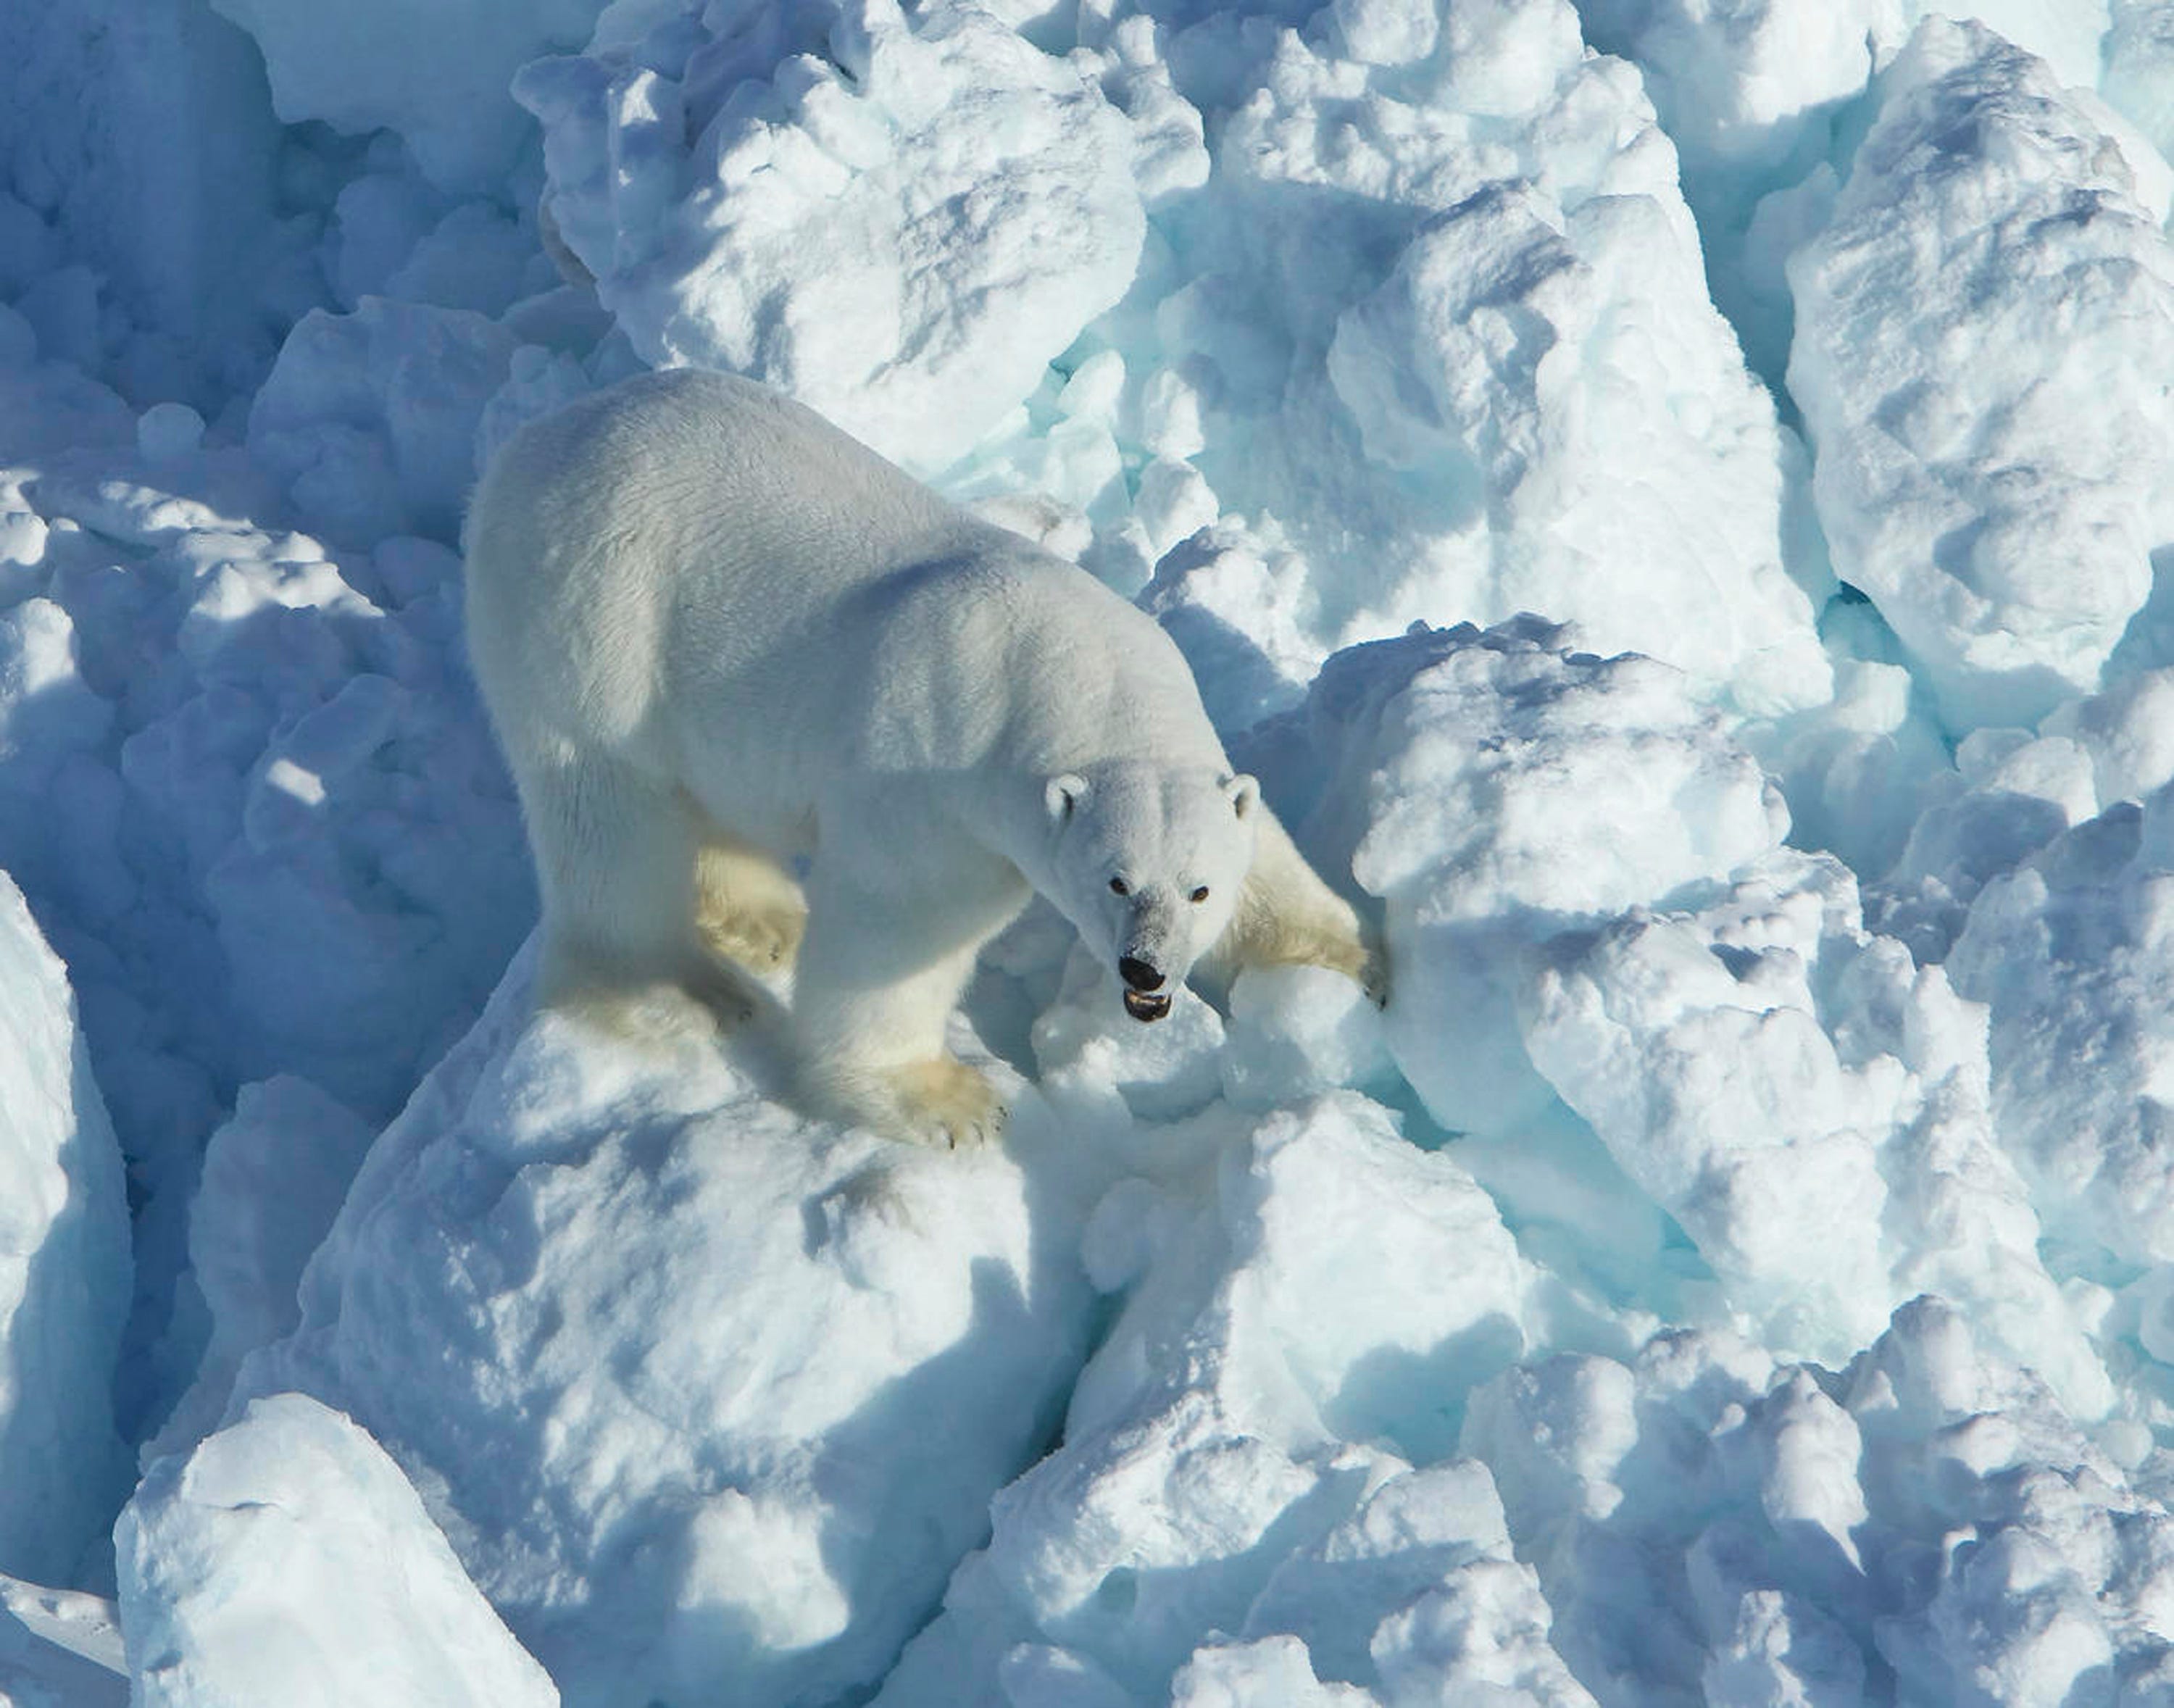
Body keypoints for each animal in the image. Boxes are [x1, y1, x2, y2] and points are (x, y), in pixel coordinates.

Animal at [463, 373, 1374, 1147]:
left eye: (1198, 888)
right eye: (1114, 880)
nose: (1143, 966)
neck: (1070, 667)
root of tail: (527, 446)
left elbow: (1266, 855)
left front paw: (1356, 964)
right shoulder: (938, 774)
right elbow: (899, 928)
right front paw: (944, 1100)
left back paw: (765, 921)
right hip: (595, 618)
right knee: (608, 811)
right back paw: (681, 988)